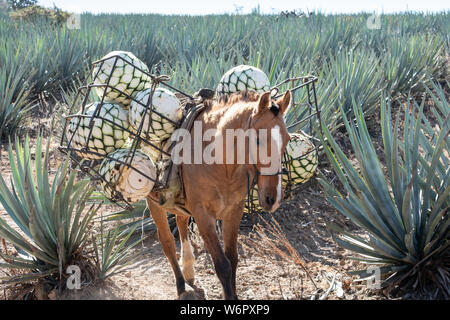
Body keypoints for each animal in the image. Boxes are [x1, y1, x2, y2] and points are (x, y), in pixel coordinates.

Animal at [145, 89, 292, 298]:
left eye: (287, 140)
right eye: (258, 140)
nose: (273, 199)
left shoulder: (234, 211)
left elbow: (233, 258)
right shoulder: (203, 216)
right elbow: (222, 264)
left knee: (181, 222)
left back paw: (188, 269)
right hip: (153, 202)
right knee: (167, 242)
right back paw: (181, 285)